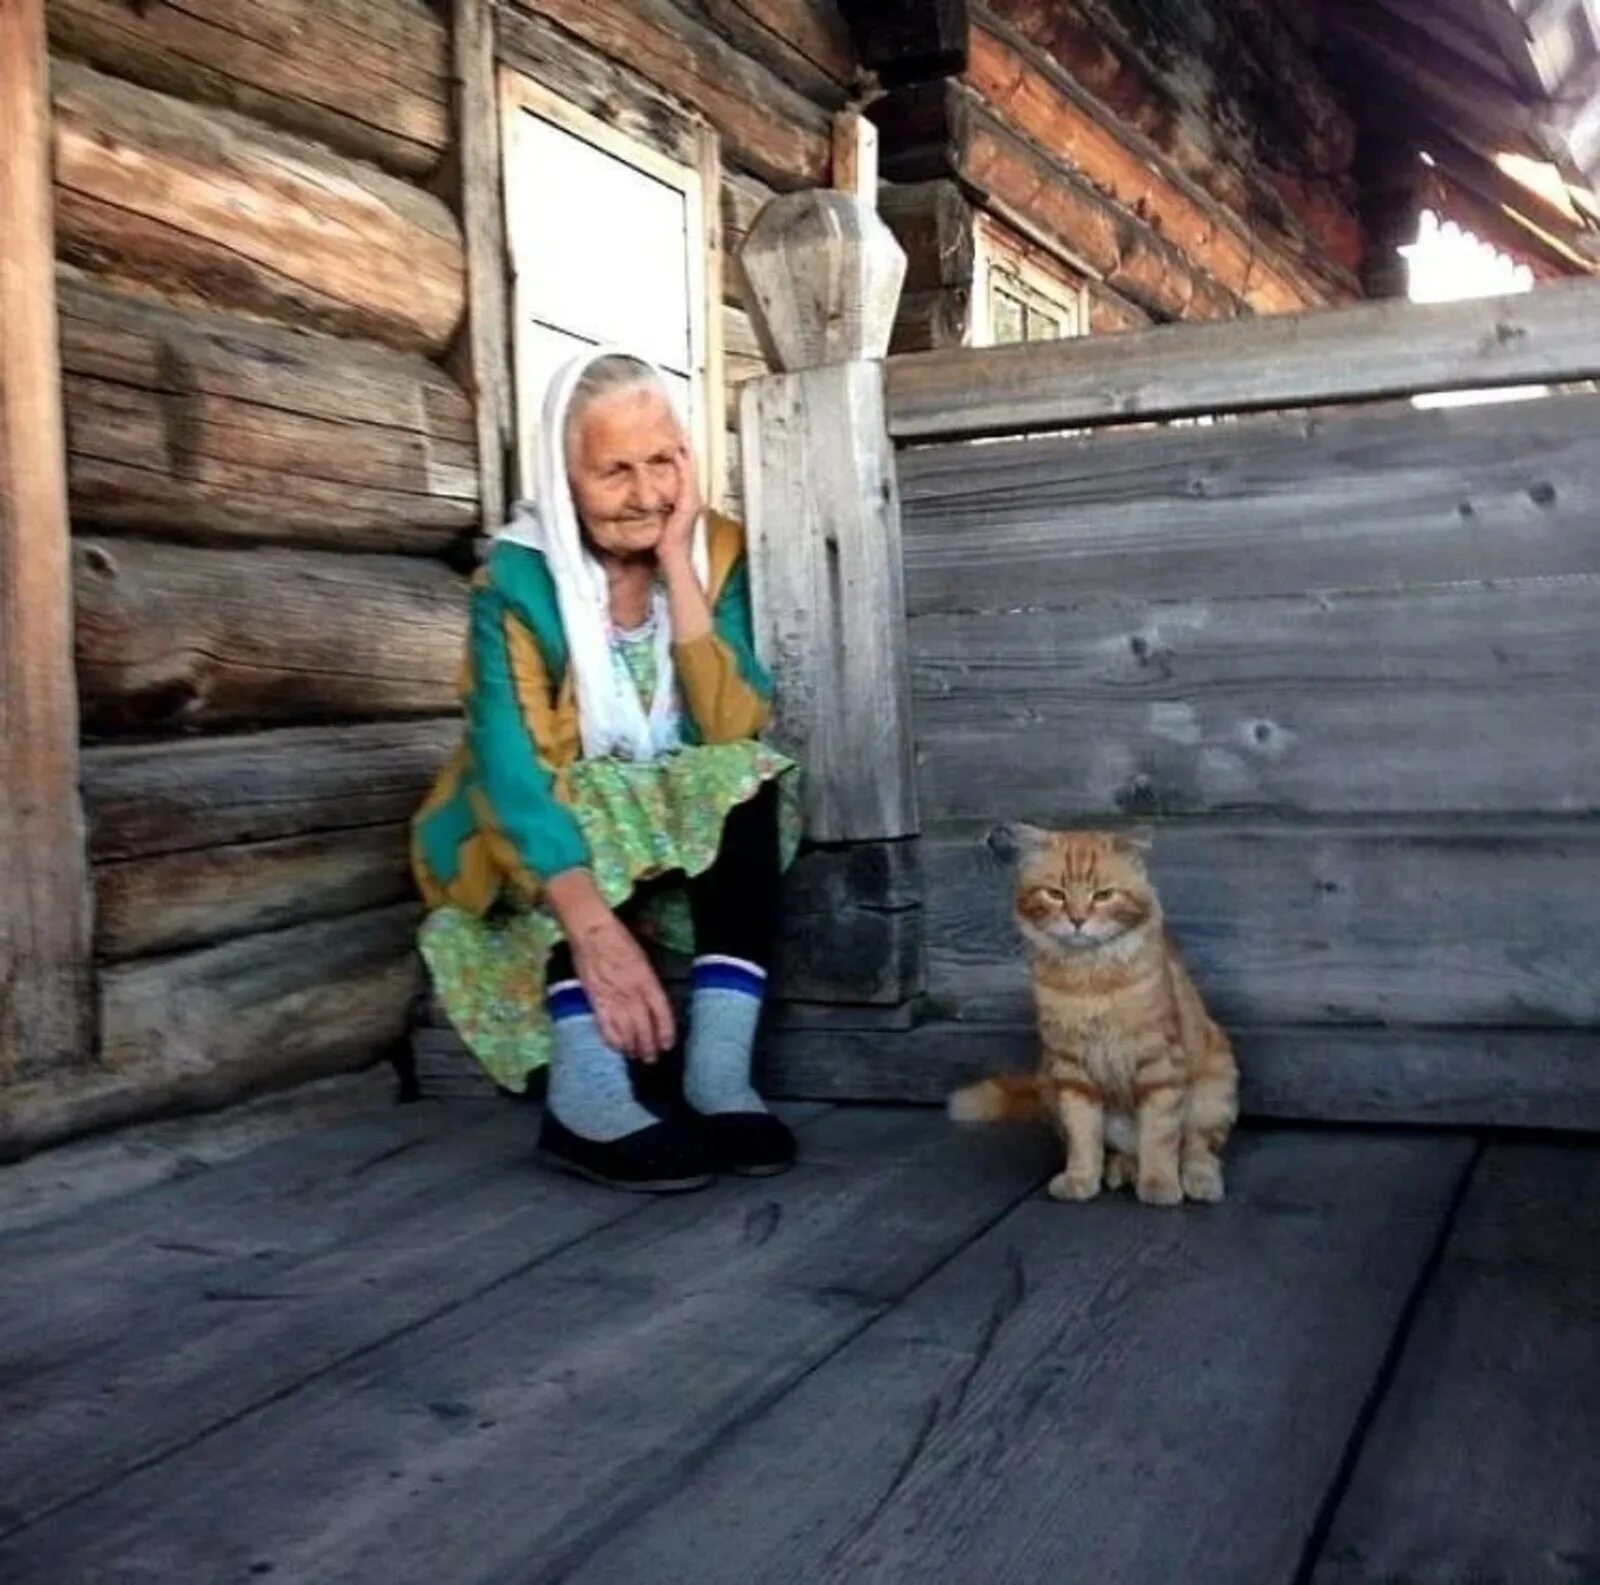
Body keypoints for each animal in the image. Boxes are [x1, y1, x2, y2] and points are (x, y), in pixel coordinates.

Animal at [947, 831, 1235, 1202]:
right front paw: (1080, 1180)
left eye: (1103, 895)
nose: (1077, 920)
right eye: (1056, 894)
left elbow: (1159, 1136)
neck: (1089, 979)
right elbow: (1083, 1136)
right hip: (1048, 1081)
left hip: (1214, 1088)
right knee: (1124, 1150)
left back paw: (1199, 1180)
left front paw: (1159, 1185)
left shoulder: (1158, 1063)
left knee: (1198, 1147)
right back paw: (1120, 1170)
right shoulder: (1071, 1070)